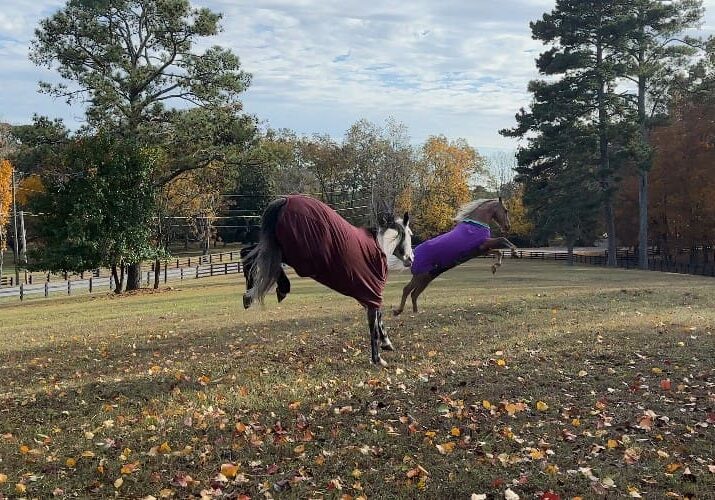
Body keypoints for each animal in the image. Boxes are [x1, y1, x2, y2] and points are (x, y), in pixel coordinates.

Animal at [244, 194, 414, 366]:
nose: (411, 259)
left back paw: (251, 295)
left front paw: (386, 344)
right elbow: (374, 325)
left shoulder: (368, 296)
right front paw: (378, 358)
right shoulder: (372, 294)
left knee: (251, 255)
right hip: (296, 253)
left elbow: (379, 320)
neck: (379, 247)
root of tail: (285, 200)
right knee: (254, 257)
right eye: (410, 235)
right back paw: (270, 291)